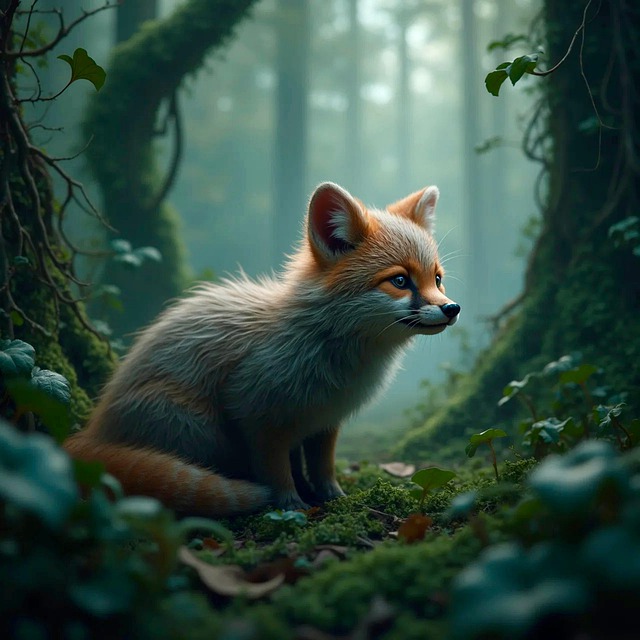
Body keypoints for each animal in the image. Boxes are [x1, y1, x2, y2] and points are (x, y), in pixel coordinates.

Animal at [64, 182, 460, 516]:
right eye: (400, 280)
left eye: (437, 279)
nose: (452, 308)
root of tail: (94, 428)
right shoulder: (258, 416)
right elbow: (277, 472)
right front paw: (290, 505)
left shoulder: (325, 422)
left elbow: (323, 468)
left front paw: (333, 497)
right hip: (198, 430)